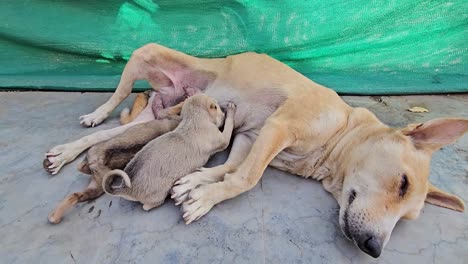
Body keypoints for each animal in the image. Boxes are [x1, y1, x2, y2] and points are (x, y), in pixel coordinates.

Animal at [101, 94, 234, 211]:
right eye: (218, 108)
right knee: (146, 207)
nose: (223, 111)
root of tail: (126, 188)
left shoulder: (175, 117)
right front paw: (231, 112)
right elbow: (228, 128)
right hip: (158, 196)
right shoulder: (222, 139)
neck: (193, 119)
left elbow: (168, 112)